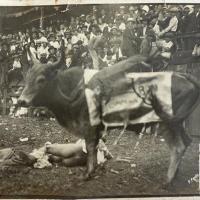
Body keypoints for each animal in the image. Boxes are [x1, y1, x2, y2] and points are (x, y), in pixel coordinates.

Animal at [17, 52, 200, 186]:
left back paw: (167, 180)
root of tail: (184, 76)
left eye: (41, 80)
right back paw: (175, 175)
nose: (21, 101)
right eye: (27, 77)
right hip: (176, 124)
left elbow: (91, 148)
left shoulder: (89, 127)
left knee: (178, 146)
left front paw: (87, 174)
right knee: (186, 141)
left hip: (168, 123)